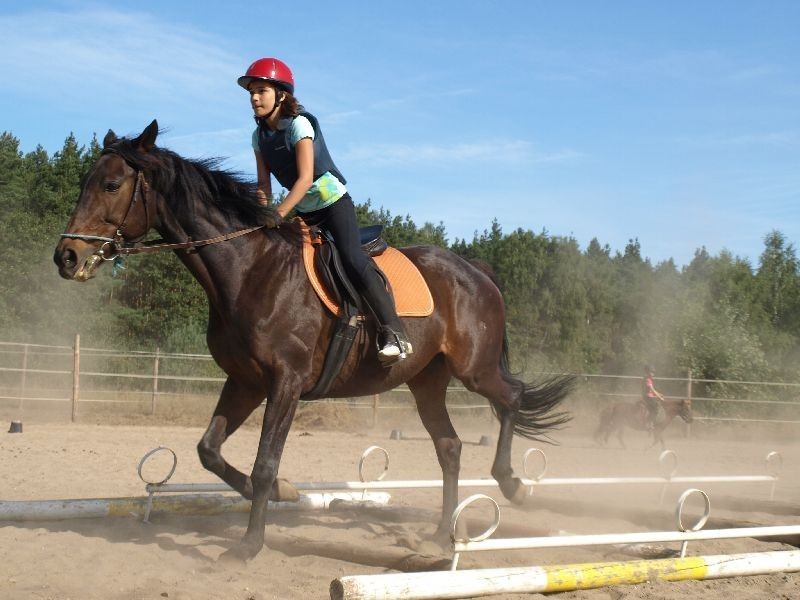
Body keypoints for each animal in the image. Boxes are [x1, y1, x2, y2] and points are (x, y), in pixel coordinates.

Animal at [51, 119, 576, 560]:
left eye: (111, 185)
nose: (66, 257)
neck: (249, 268)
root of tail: (476, 270)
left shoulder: (286, 382)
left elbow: (264, 462)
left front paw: (249, 545)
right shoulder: (245, 381)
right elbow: (210, 450)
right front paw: (284, 493)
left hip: (475, 369)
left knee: (512, 397)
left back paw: (511, 485)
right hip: (426, 380)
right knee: (449, 447)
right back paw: (442, 534)